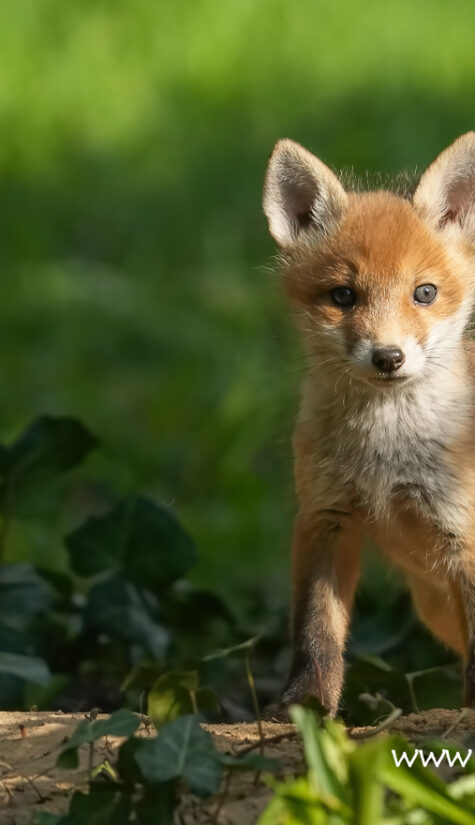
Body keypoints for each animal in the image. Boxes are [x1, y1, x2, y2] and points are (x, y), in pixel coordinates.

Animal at [262, 132, 475, 717]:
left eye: (424, 293)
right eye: (343, 297)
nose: (388, 357)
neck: (386, 452)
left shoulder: (464, 536)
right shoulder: (324, 517)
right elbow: (316, 632)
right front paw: (306, 708)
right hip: (431, 605)